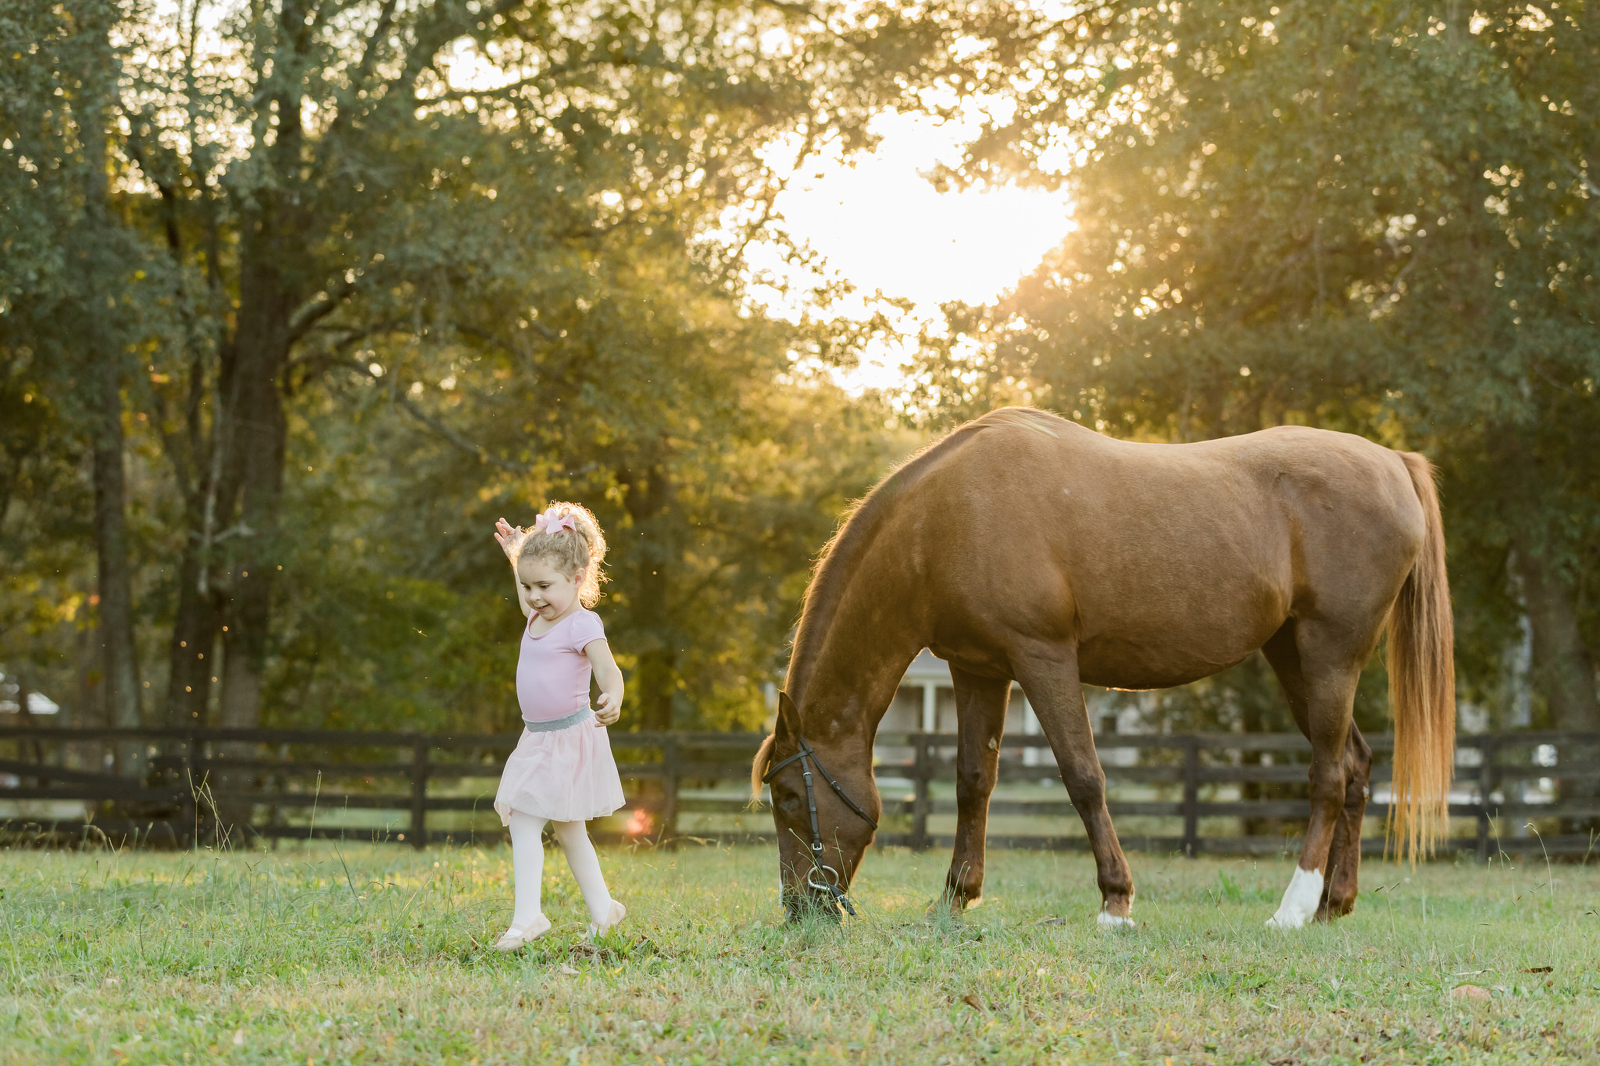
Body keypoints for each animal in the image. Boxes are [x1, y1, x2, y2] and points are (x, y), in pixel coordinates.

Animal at [752, 407, 1454, 929]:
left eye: (787, 796)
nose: (800, 909)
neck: (947, 518)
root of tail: (1394, 462)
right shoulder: (979, 670)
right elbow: (973, 781)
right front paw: (954, 900)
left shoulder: (1043, 658)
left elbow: (1083, 776)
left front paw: (1115, 901)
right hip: (1293, 658)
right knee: (1357, 767)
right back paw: (1334, 905)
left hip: (1330, 654)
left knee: (1329, 777)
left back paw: (1293, 908)